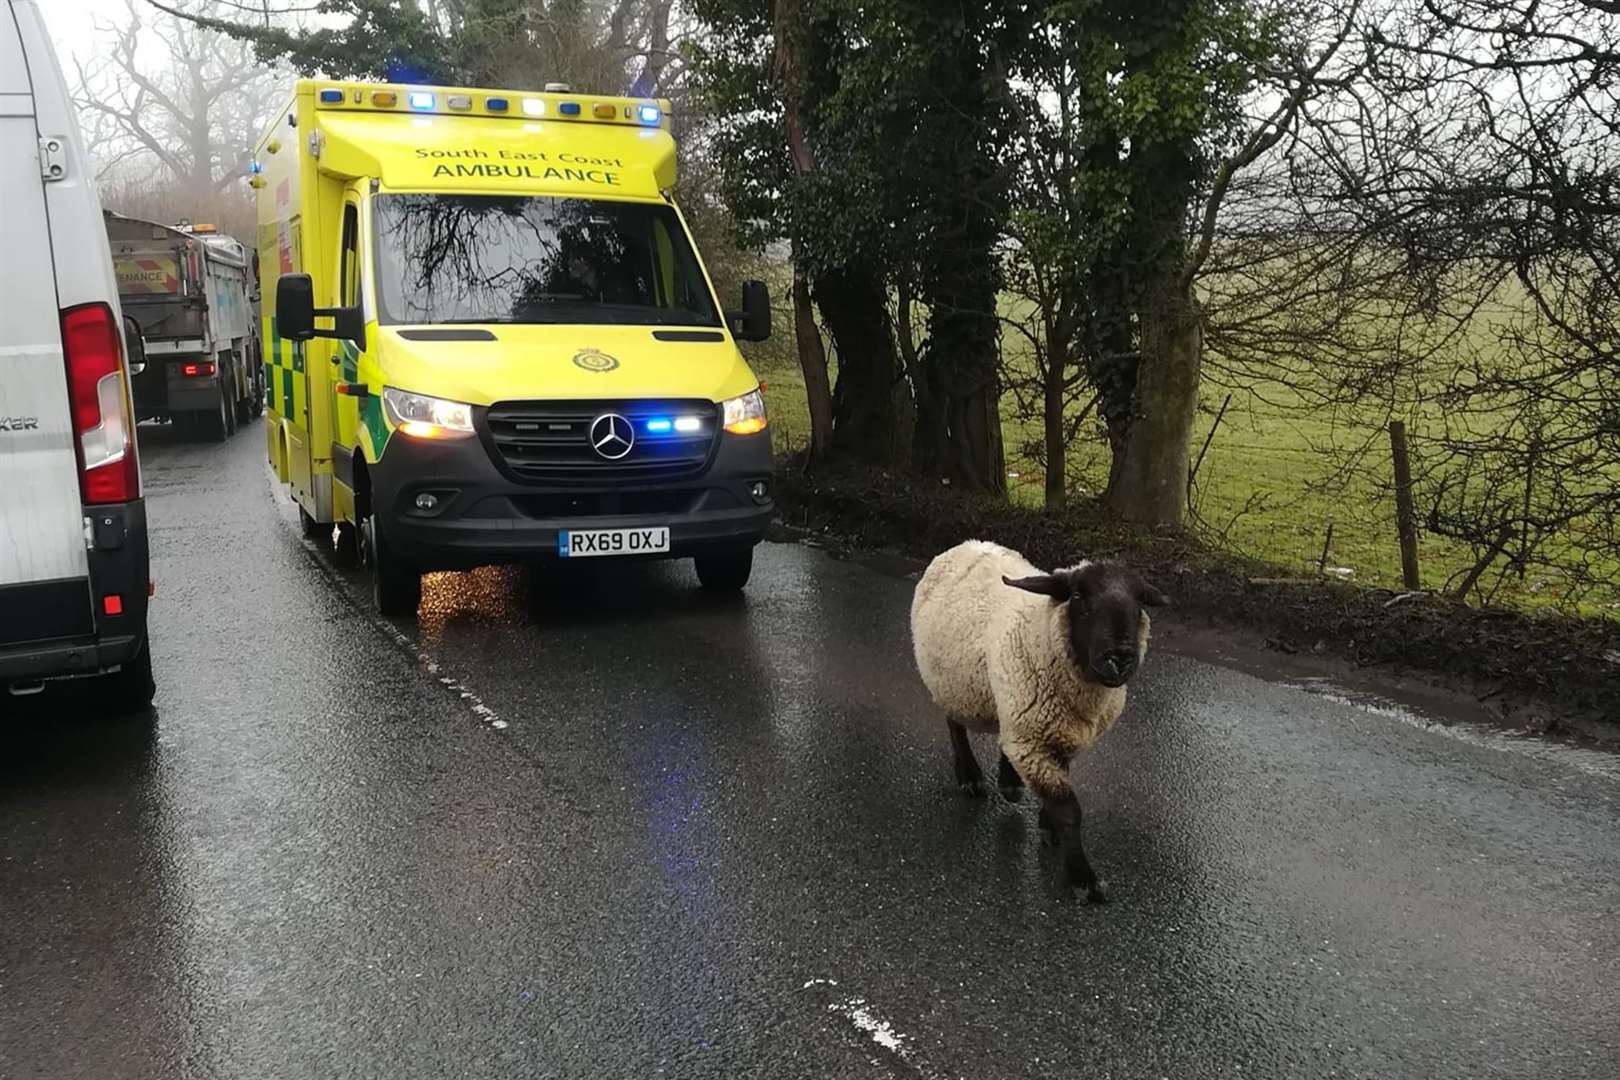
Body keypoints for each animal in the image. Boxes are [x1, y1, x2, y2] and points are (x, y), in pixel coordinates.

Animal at [913, 540, 1166, 906]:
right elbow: (1069, 809)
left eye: (1140, 601)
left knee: (1003, 737)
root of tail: (968, 544)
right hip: (953, 684)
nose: (1119, 658)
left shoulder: (1058, 733)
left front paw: (1047, 824)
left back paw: (1009, 782)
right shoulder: (1032, 737)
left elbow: (1059, 785)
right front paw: (1083, 878)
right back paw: (971, 777)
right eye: (1078, 595)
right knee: (954, 724)